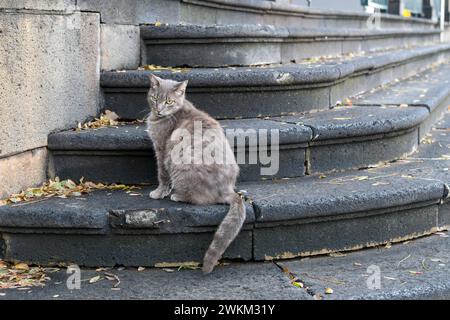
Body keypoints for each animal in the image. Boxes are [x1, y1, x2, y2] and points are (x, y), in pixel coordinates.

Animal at [147, 74, 246, 272]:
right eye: (154, 98)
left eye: (169, 101)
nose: (159, 109)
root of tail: (228, 189)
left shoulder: (161, 149)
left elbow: (162, 175)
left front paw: (159, 192)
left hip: (182, 164)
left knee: (201, 199)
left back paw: (177, 196)